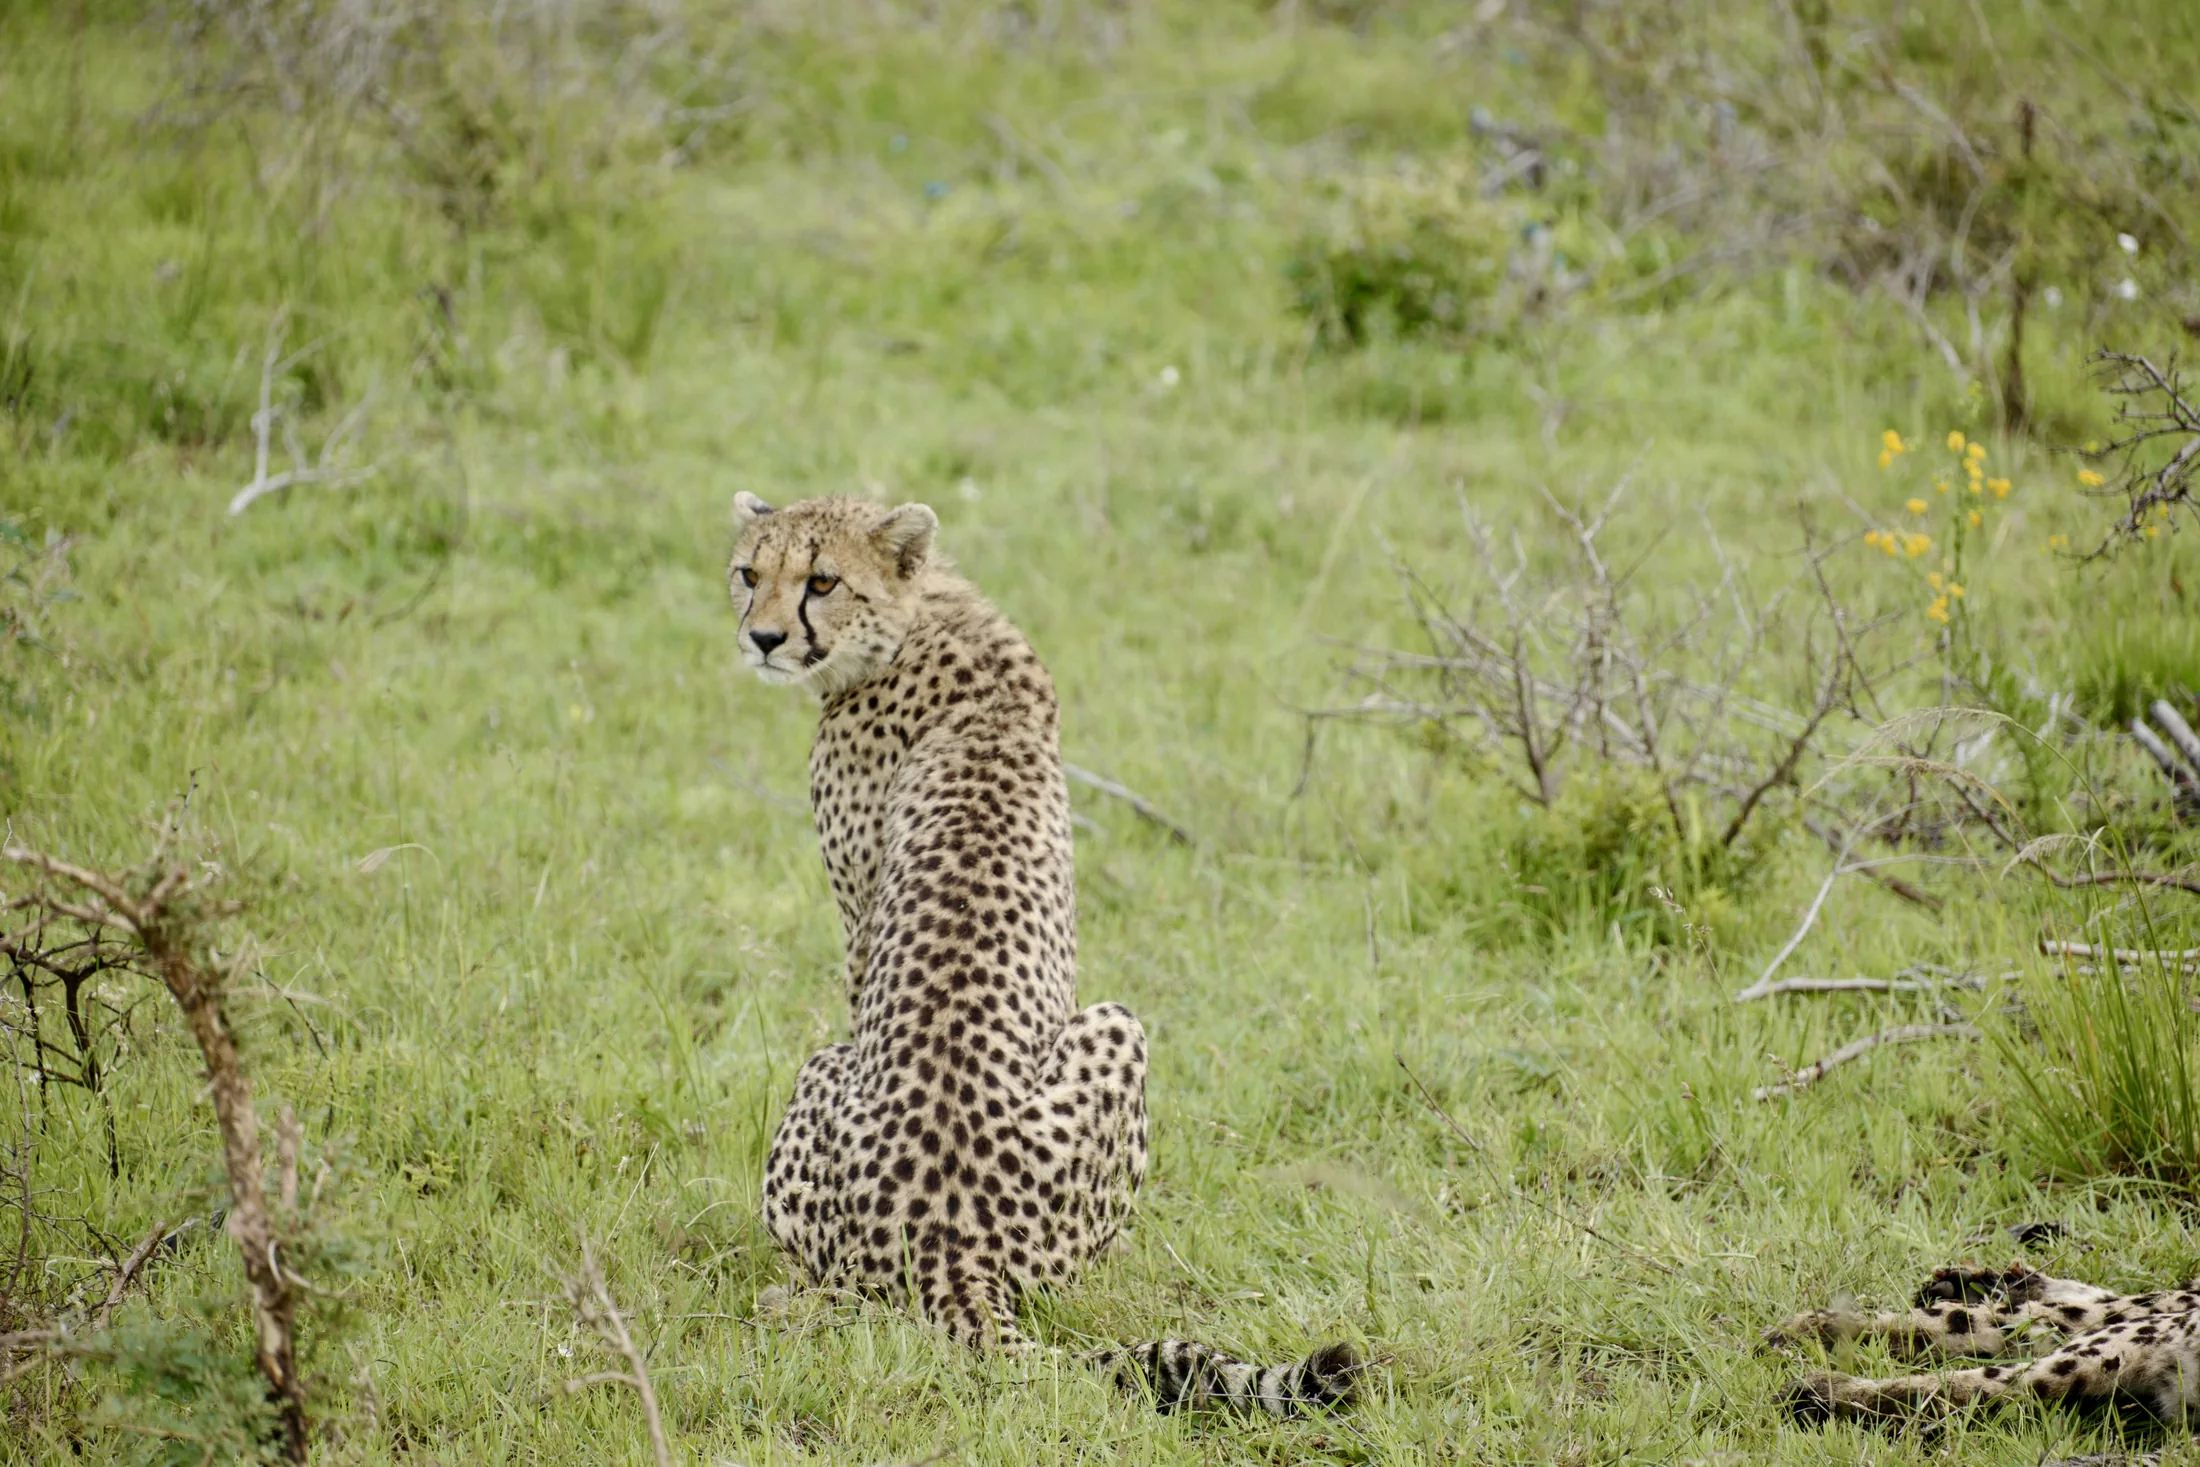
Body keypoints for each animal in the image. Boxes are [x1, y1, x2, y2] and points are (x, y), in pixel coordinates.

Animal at [728, 491, 1360, 1417]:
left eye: (821, 581)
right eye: (749, 572)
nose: (765, 639)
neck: (920, 617)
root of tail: (950, 1243)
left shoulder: (858, 918)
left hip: (1054, 1033)